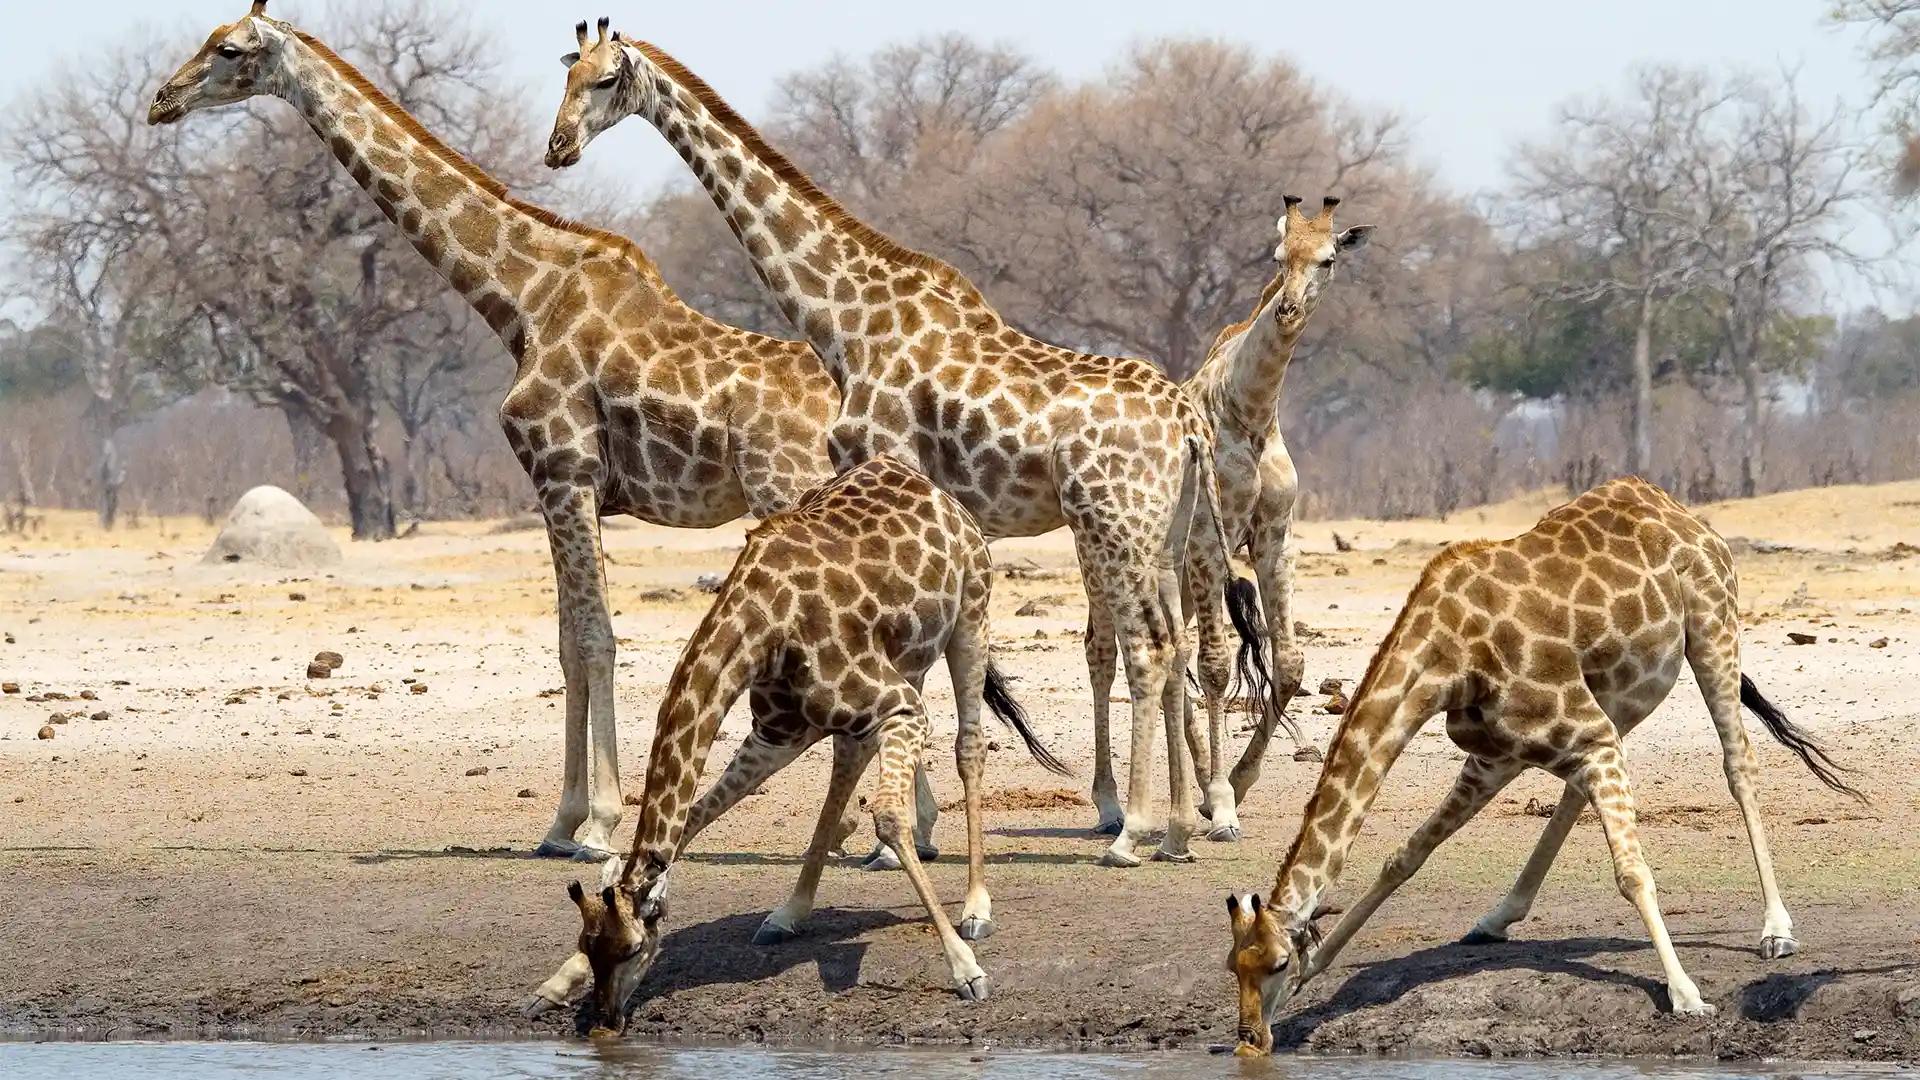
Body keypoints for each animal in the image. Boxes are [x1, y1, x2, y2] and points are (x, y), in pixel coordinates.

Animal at [153, 0, 860, 857]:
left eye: (228, 49)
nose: (162, 100)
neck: (522, 298)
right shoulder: (555, 488)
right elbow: (565, 643)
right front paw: (559, 821)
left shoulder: (565, 471)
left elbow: (595, 638)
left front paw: (599, 825)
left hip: (785, 494)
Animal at [518, 453, 1075, 1022]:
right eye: (590, 945)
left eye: (633, 948)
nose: (608, 1017)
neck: (760, 627)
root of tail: (935, 491)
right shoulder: (777, 732)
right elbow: (694, 816)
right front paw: (556, 982)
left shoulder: (901, 708)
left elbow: (889, 815)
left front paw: (965, 969)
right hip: (901, 669)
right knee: (847, 763)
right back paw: (788, 913)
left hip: (970, 616)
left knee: (969, 745)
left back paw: (976, 908)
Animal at [541, 21, 1259, 864]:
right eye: (567, 75)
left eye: (605, 80)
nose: (558, 147)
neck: (843, 318)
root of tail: (1186, 421)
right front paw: (907, 831)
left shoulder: (879, 467)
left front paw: (899, 837)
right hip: (1164, 531)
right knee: (1176, 647)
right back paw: (1179, 826)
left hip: (1111, 521)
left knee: (1149, 648)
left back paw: (1135, 831)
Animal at [1105, 197, 1374, 845]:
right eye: (1277, 256)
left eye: (1328, 259)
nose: (1289, 309)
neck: (1249, 411)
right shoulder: (1210, 537)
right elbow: (1216, 665)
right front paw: (1223, 804)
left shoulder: (1275, 536)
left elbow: (1290, 663)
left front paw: (1236, 784)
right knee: (1122, 655)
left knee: (1170, 656)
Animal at [1213, 474, 1858, 1045]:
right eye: (1233, 965)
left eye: (1274, 964)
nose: (1249, 1035)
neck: (1446, 655)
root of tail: (1682, 513)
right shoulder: (1500, 754)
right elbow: (1407, 854)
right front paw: (1321, 963)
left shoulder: (1582, 734)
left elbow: (1631, 872)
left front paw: (1686, 995)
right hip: (1619, 698)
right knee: (1577, 794)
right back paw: (1496, 918)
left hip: (1712, 629)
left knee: (1738, 763)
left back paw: (1777, 931)